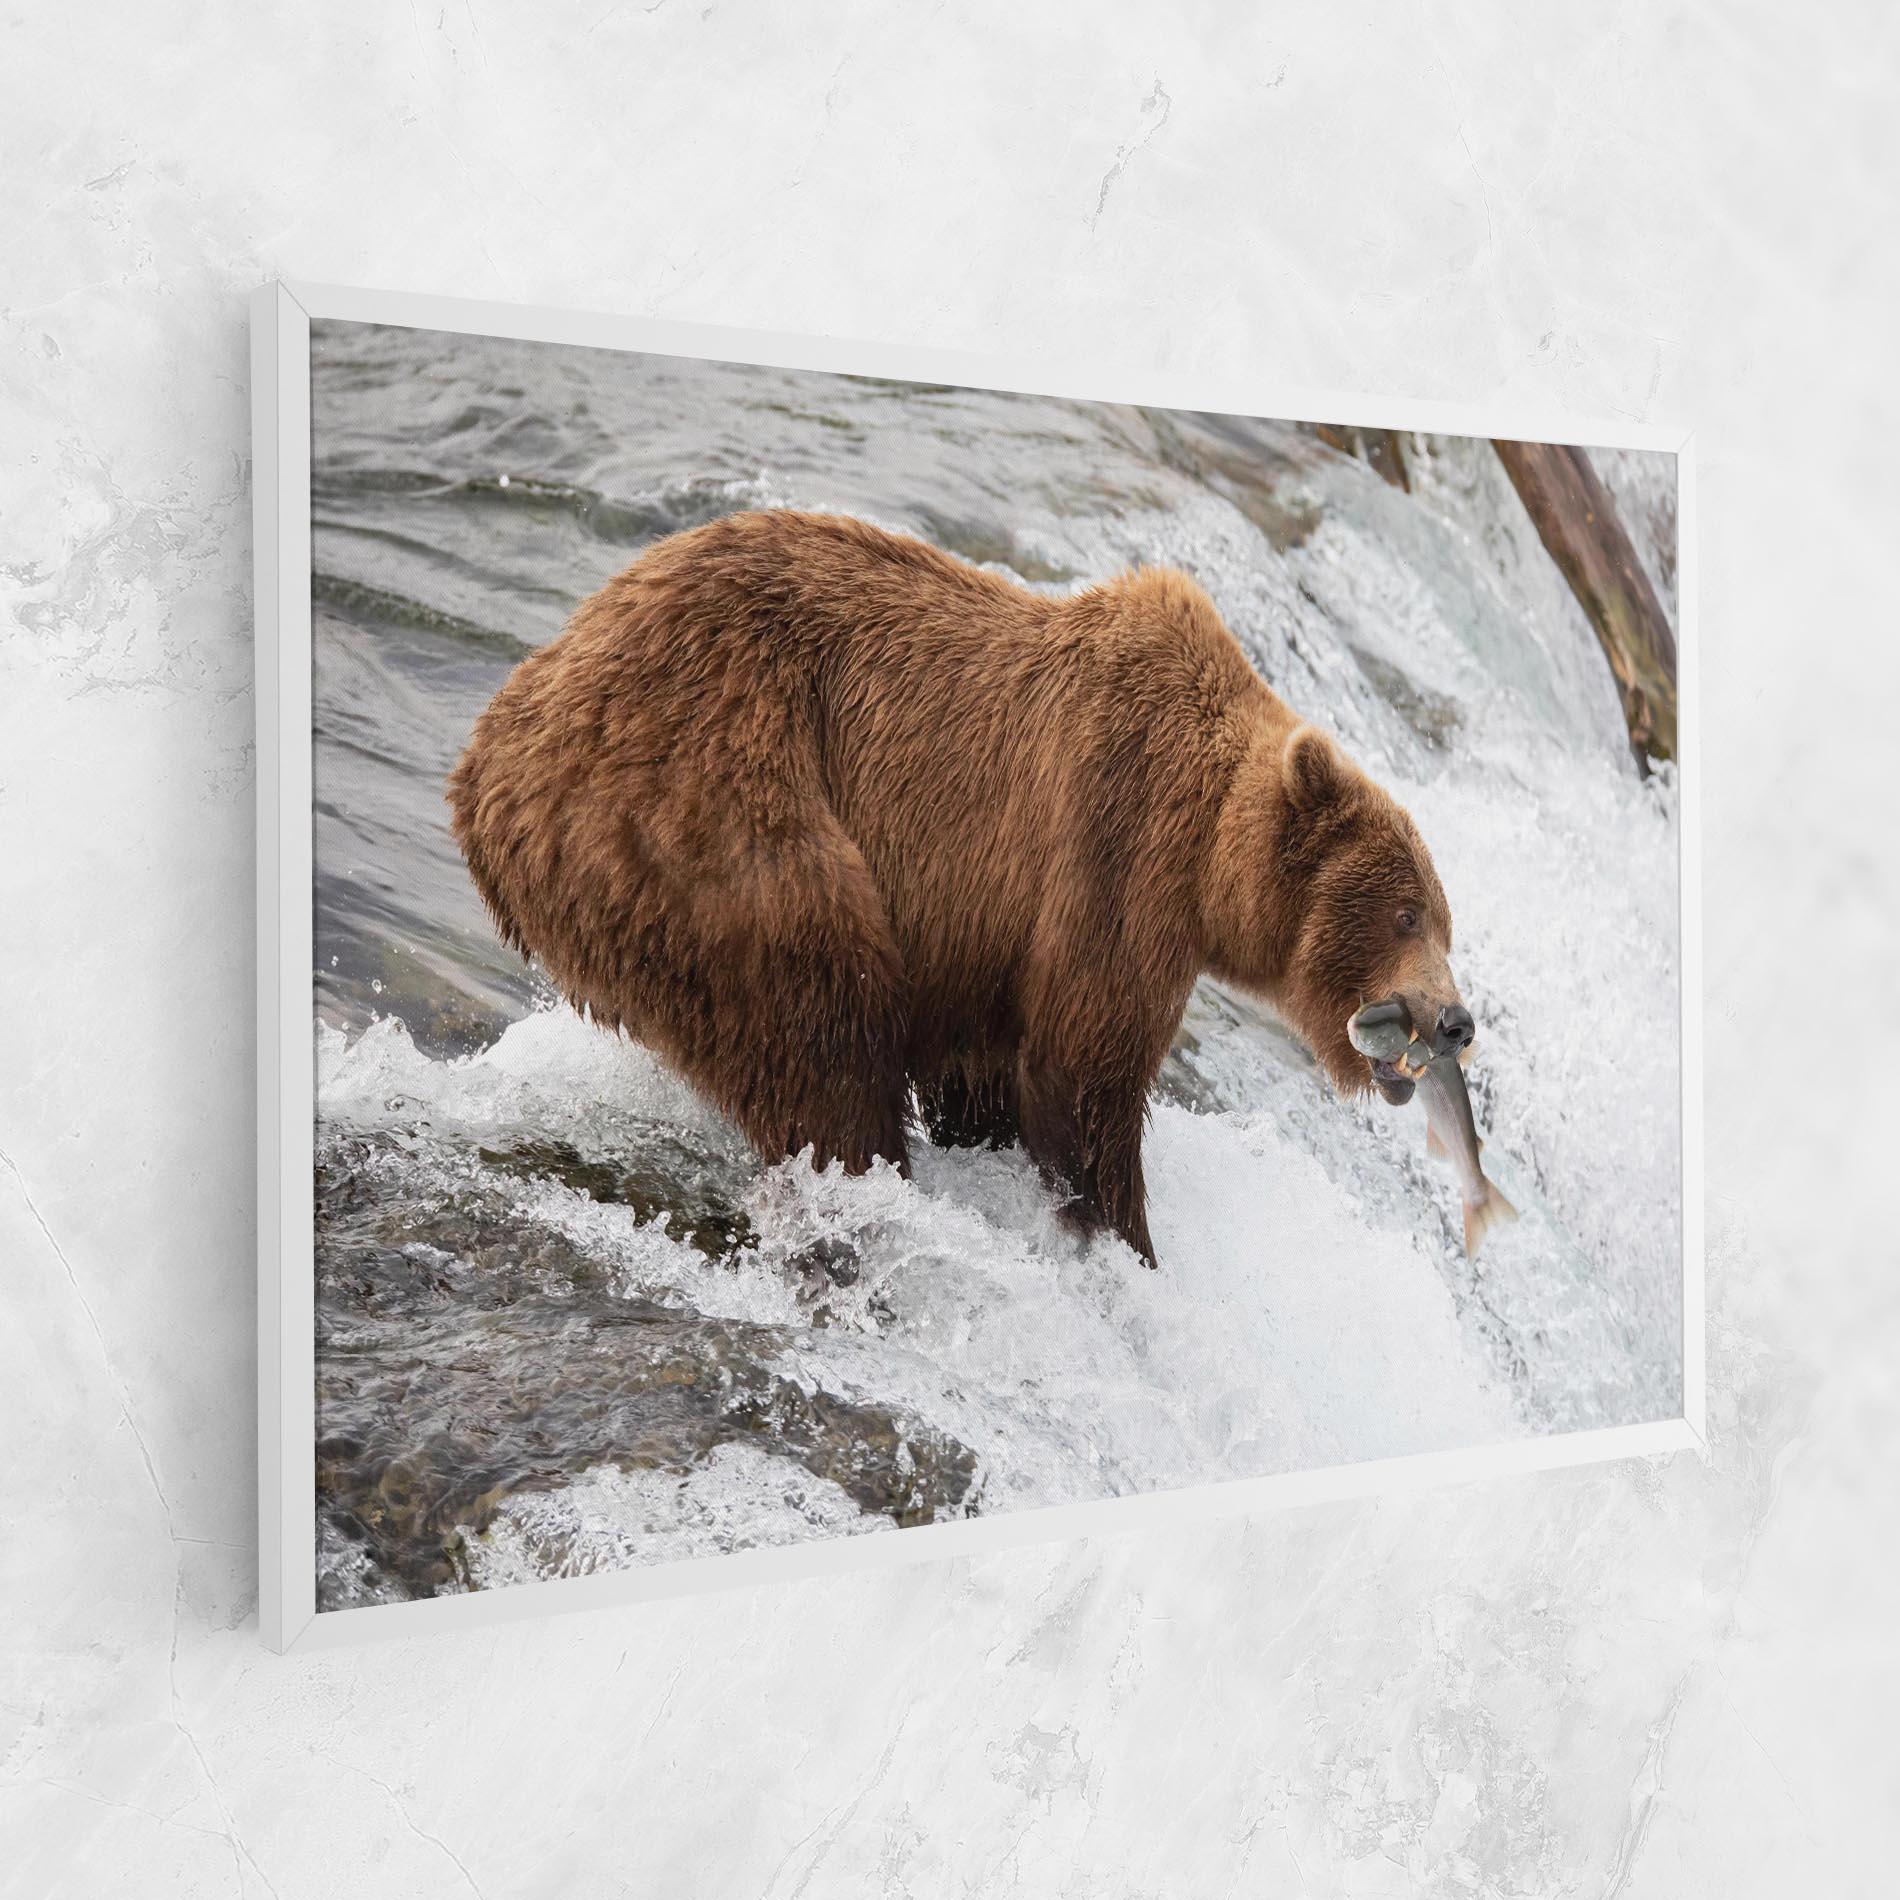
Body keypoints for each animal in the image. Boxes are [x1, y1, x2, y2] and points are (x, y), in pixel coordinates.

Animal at [447, 509, 1470, 1269]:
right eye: (1405, 912)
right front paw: (1126, 1241)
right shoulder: (1114, 849)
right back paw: (864, 1184)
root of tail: (488, 753)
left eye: (1446, 923)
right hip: (704, 796)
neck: (1210, 854)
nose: (1455, 1020)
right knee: (822, 1014)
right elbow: (1083, 1072)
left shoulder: (986, 937)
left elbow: (988, 1073)